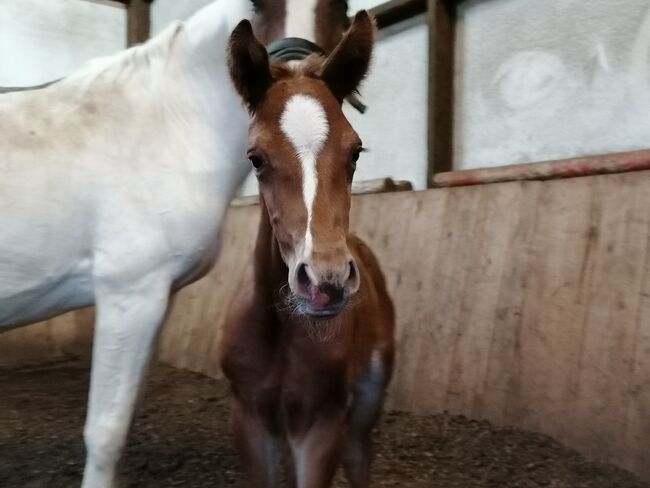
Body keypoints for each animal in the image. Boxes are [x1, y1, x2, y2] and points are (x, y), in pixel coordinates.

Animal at [220, 11, 394, 488]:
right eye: (255, 157)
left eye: (355, 152)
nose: (325, 281)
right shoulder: (248, 420)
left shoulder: (321, 426)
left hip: (367, 401)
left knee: (359, 455)